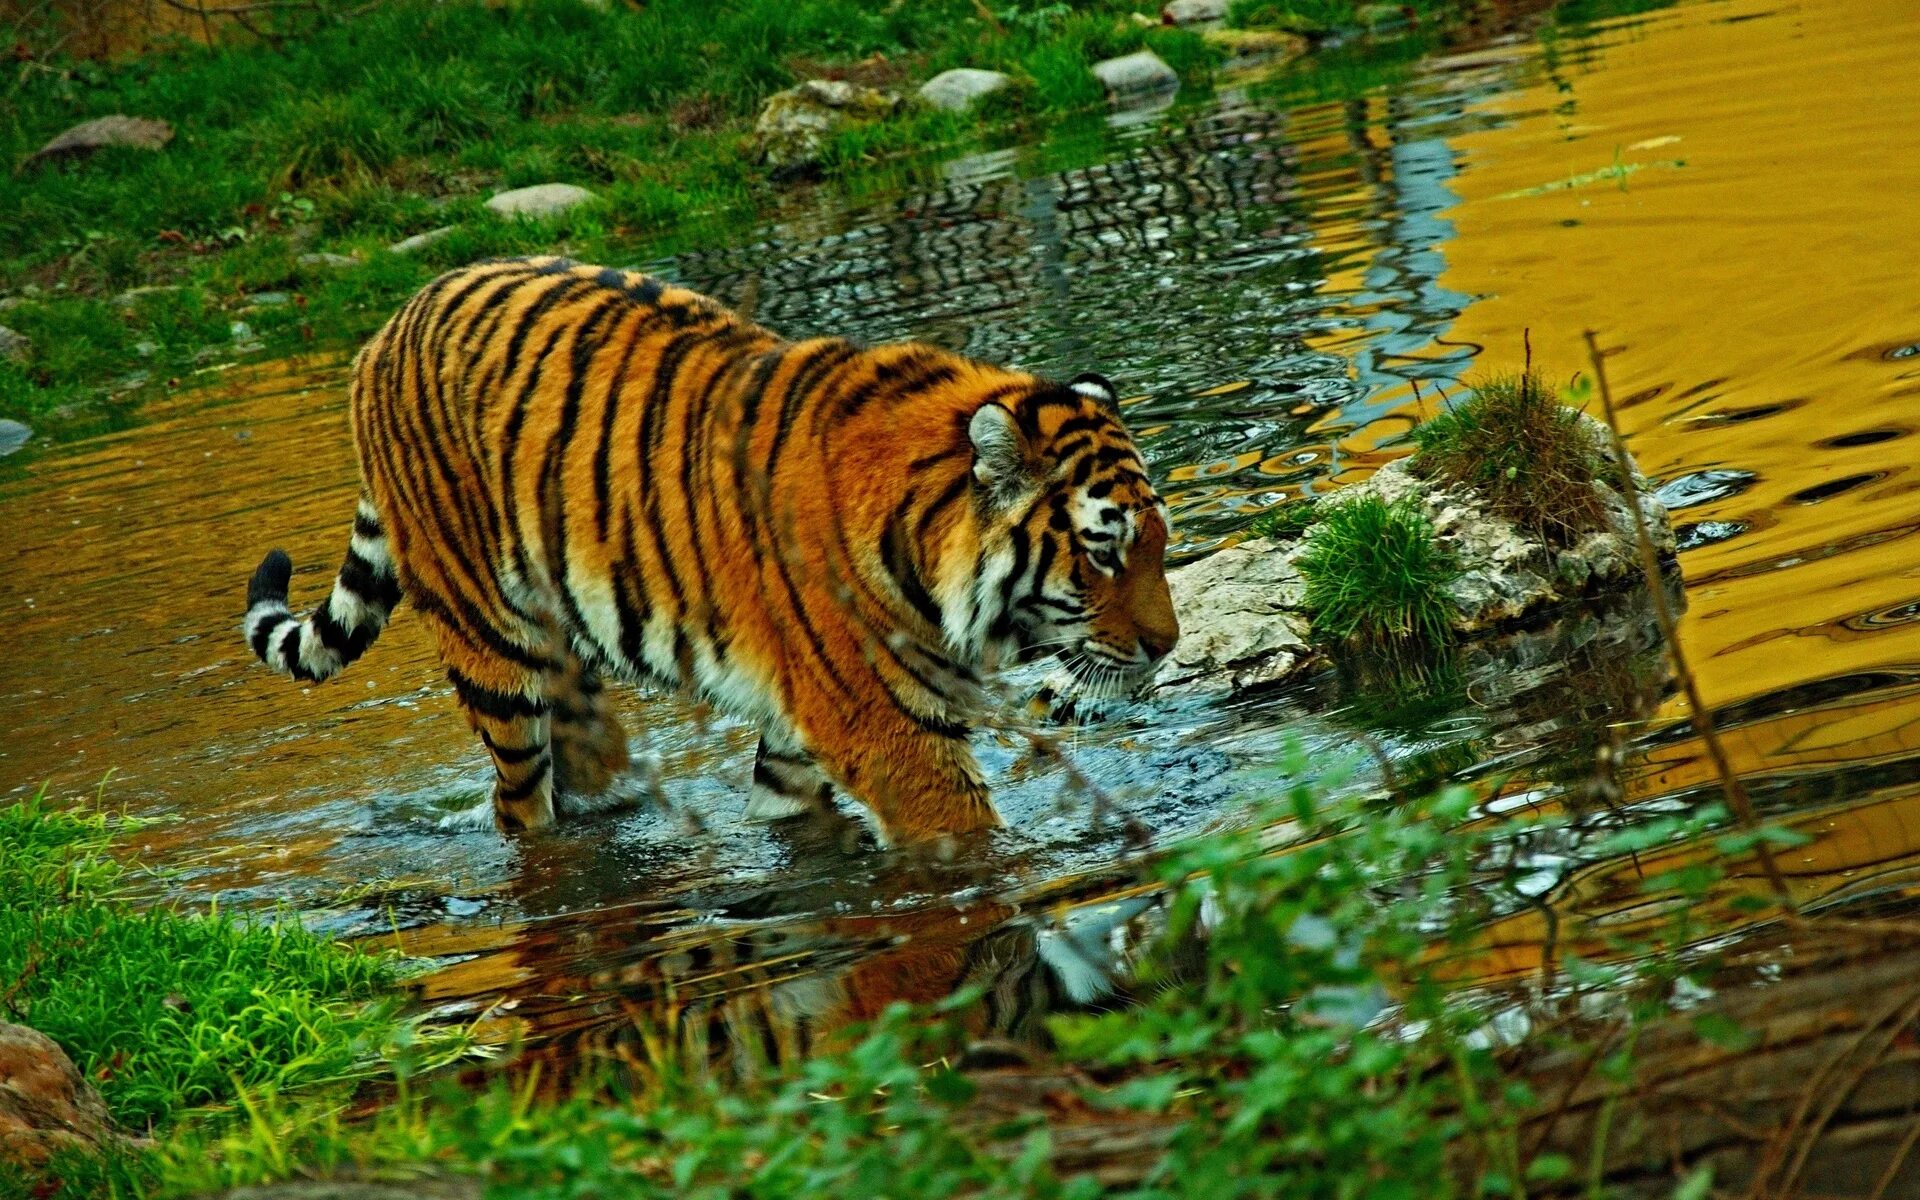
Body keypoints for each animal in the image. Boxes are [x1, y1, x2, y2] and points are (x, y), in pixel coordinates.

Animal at [240, 259, 1167, 848]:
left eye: (1159, 543)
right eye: (1103, 551)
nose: (1169, 645)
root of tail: (386, 328)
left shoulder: (804, 727)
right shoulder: (892, 732)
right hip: (490, 646)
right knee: (517, 808)